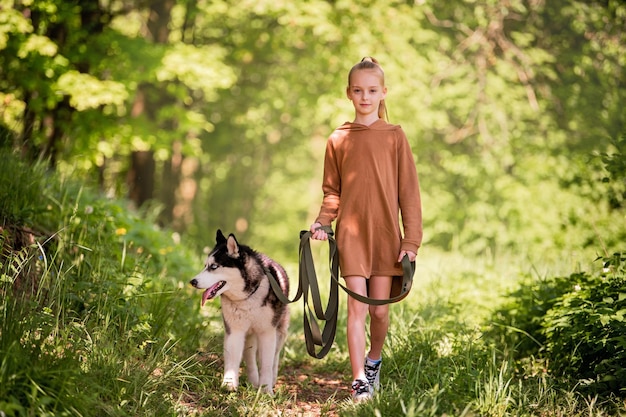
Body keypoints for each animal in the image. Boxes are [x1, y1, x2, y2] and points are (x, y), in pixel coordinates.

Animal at [189, 229, 288, 394]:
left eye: (214, 266)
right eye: (205, 265)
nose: (193, 282)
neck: (248, 297)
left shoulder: (267, 332)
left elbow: (267, 364)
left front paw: (266, 390)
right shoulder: (234, 330)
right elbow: (233, 359)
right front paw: (229, 384)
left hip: (280, 330)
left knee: (275, 356)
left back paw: (272, 379)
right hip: (249, 335)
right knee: (250, 357)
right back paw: (254, 380)